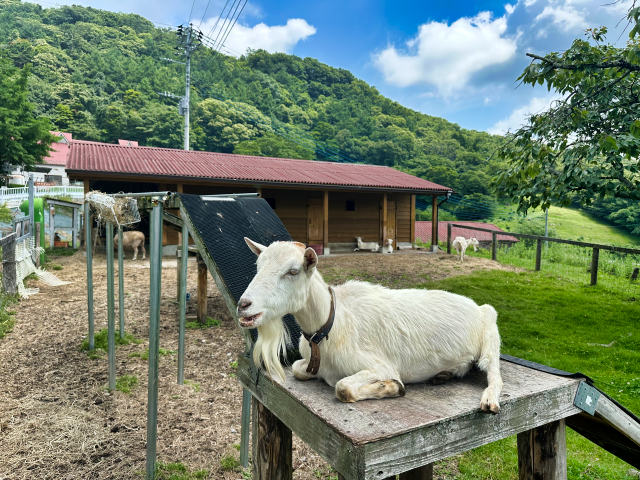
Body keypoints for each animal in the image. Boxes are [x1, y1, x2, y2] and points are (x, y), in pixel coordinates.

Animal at [237, 239, 503, 413]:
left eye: (293, 271)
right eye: (258, 267)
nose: (243, 305)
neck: (332, 323)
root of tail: (477, 306)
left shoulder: (380, 366)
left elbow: (343, 387)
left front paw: (392, 387)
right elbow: (297, 369)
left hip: (490, 338)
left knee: (494, 374)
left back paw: (489, 400)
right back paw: (444, 374)